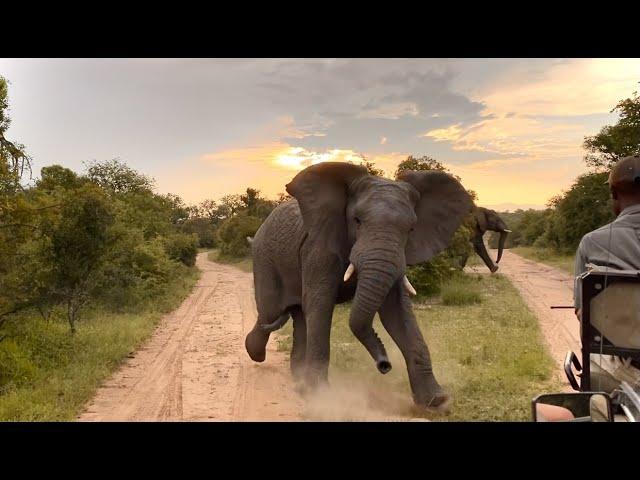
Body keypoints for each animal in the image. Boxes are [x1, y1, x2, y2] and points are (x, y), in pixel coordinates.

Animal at [242, 163, 472, 410]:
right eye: (357, 220)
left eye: (411, 229)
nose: (385, 366)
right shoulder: (319, 250)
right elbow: (320, 305)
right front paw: (321, 395)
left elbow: (397, 314)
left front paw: (436, 401)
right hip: (264, 257)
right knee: (270, 310)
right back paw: (255, 353)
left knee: (298, 316)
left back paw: (298, 380)